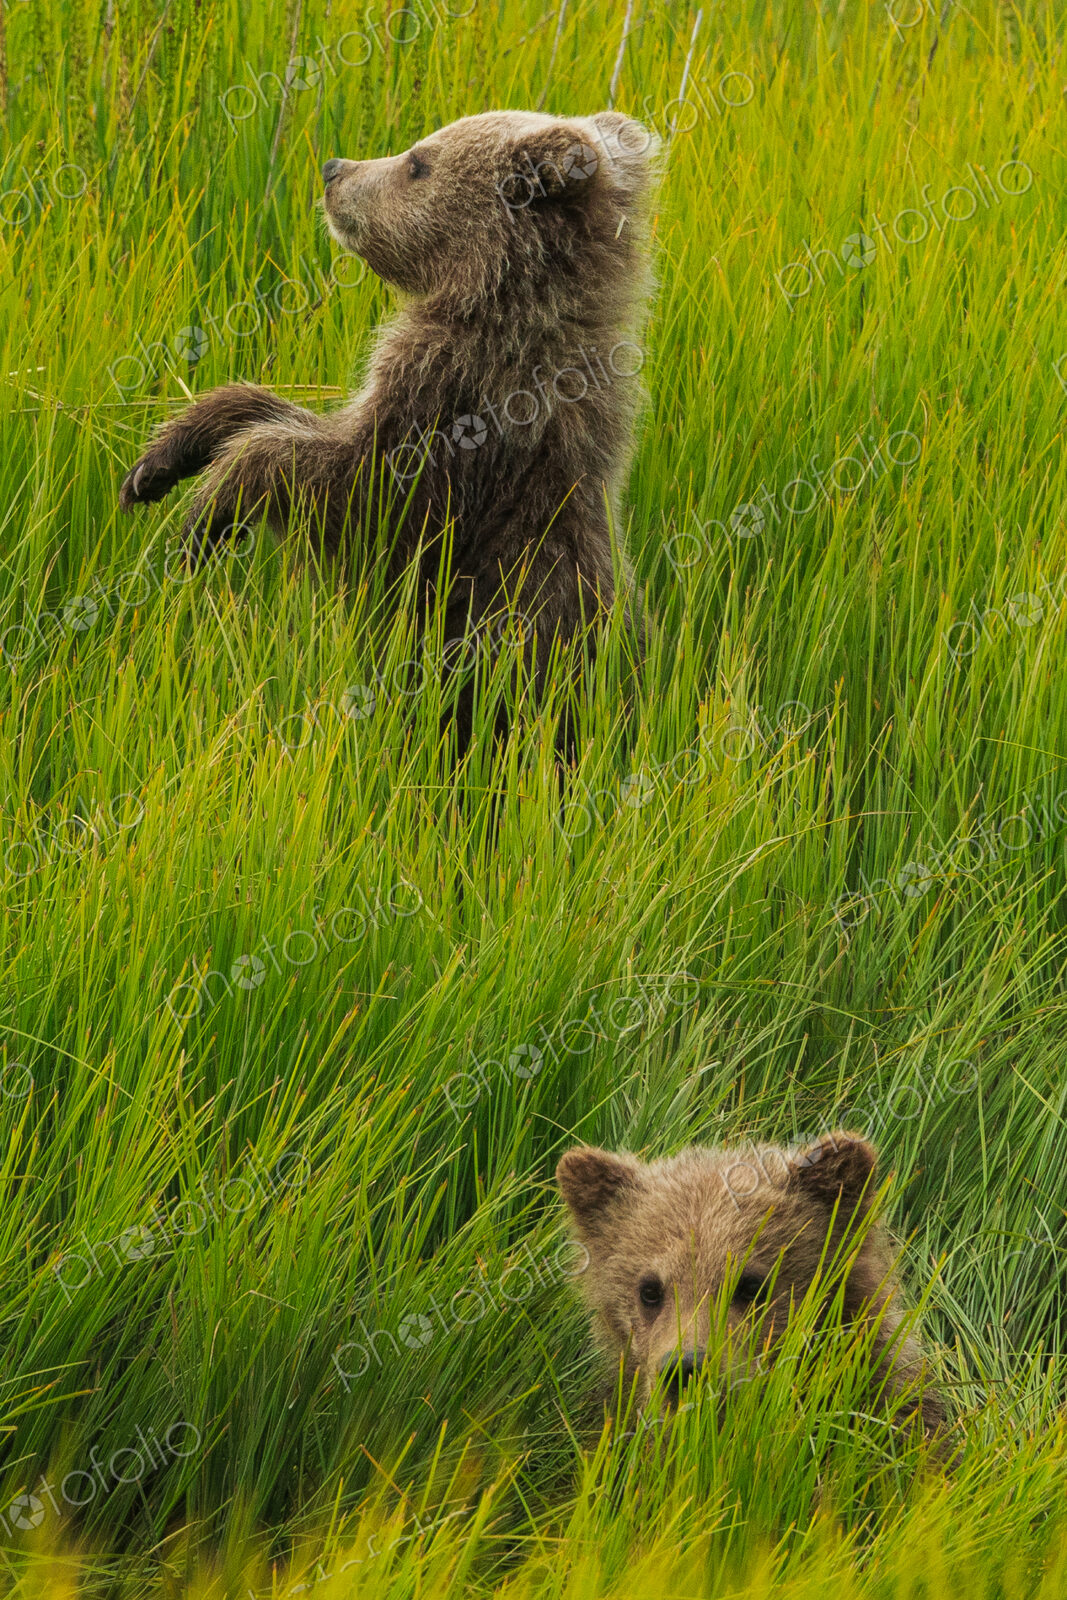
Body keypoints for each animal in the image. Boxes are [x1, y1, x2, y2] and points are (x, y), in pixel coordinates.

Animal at [117, 110, 660, 745]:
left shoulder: (463, 425)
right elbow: (293, 418)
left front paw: (202, 521)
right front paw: (164, 460)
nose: (334, 168)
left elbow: (354, 493)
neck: (502, 310)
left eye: (418, 162)